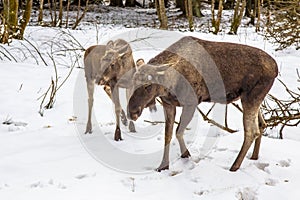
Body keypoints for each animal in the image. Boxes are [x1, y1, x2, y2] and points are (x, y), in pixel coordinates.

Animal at [127, 36, 278, 172]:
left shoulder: (191, 102)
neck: (170, 85)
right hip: (253, 98)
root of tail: (276, 68)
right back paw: (254, 157)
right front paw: (163, 165)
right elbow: (167, 135)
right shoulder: (168, 104)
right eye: (132, 81)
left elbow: (178, 131)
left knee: (252, 131)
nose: (132, 112)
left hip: (251, 97)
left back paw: (234, 166)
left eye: (148, 85)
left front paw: (186, 154)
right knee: (262, 124)